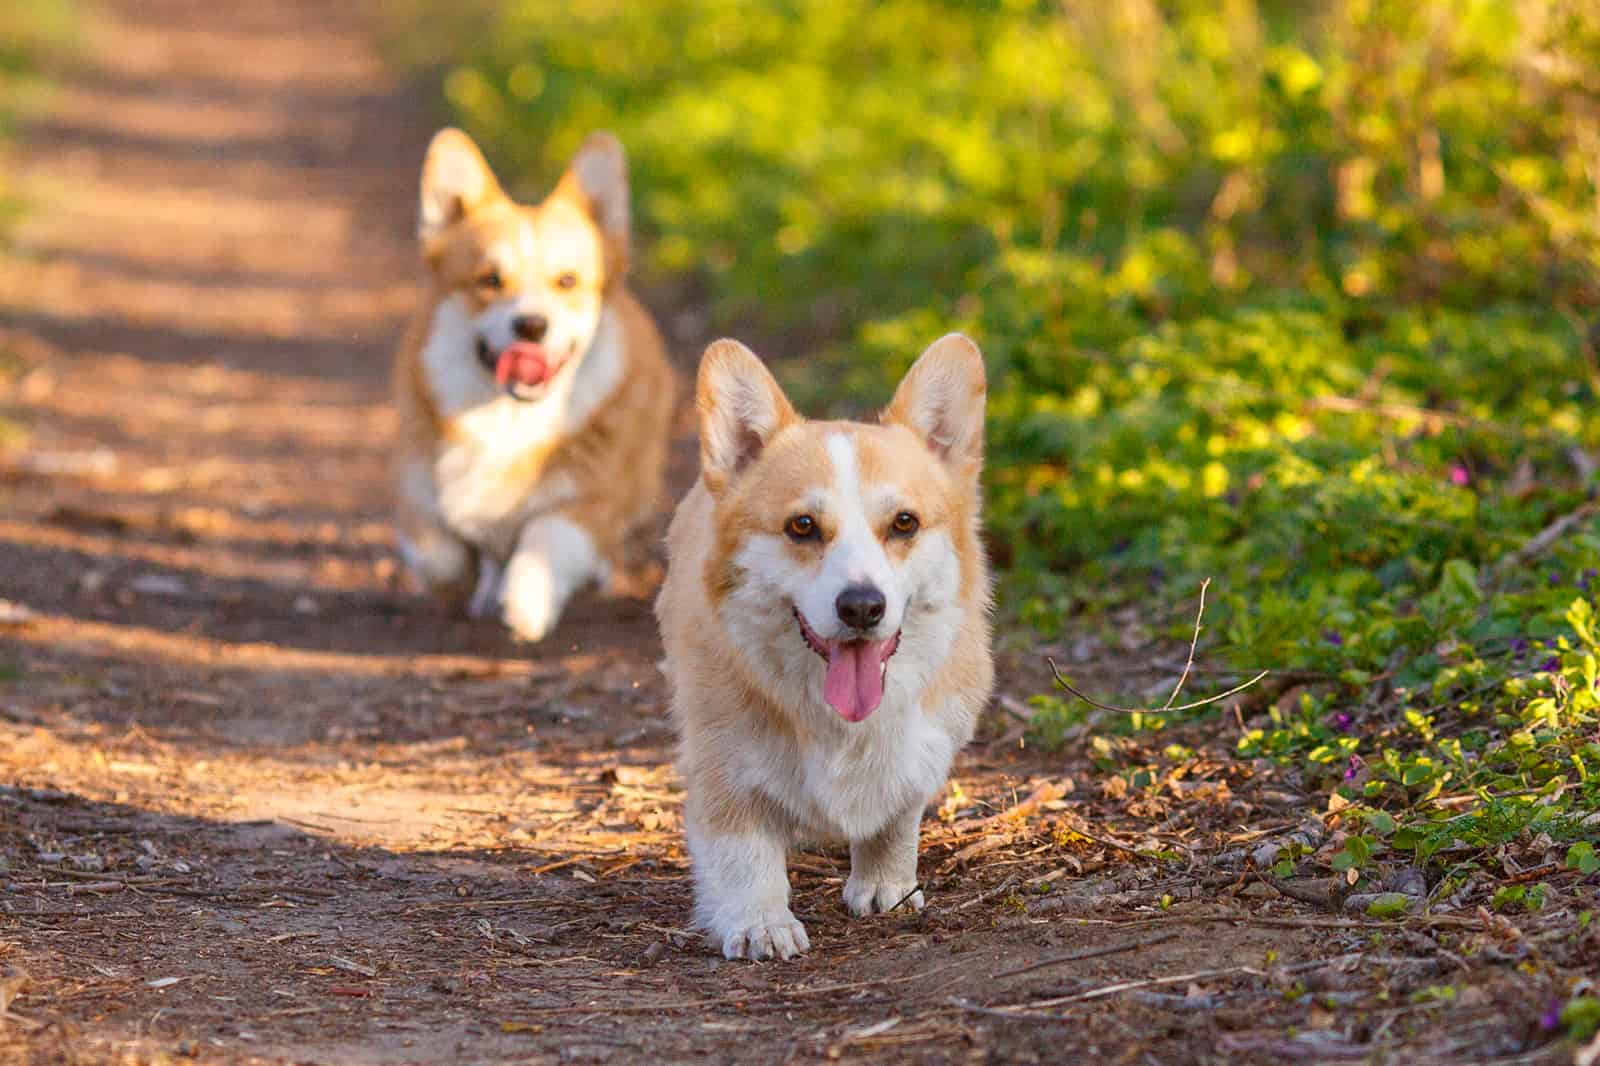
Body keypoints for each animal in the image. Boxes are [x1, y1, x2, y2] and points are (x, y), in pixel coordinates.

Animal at [400, 128, 681, 633]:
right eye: (490, 279)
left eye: (567, 281)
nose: (531, 326)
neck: (509, 419)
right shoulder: (417, 487)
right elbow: (439, 554)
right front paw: (464, 582)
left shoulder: (590, 499)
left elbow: (546, 537)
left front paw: (527, 603)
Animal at [652, 332, 985, 953]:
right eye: (802, 526)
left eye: (904, 523)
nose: (862, 607)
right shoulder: (722, 761)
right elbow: (742, 852)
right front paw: (760, 923)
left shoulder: (921, 749)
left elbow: (896, 818)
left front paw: (885, 885)